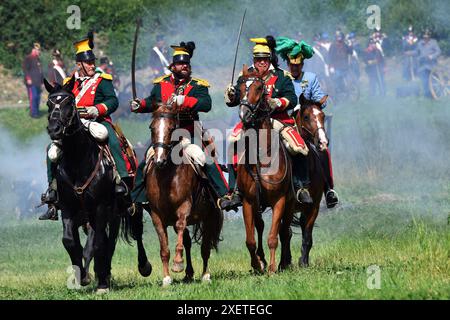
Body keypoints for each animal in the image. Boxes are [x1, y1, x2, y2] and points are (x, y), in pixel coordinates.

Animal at [43, 77, 151, 292]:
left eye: (69, 102)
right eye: (49, 104)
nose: (54, 130)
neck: (78, 160)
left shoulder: (99, 209)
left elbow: (94, 244)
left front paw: (94, 280)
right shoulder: (68, 209)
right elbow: (71, 242)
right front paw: (82, 275)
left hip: (130, 207)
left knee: (135, 233)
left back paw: (141, 267)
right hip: (112, 215)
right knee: (109, 243)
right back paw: (105, 274)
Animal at [145, 99, 222, 284]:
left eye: (172, 127)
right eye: (152, 127)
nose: (159, 161)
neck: (167, 176)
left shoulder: (184, 207)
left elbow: (181, 227)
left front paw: (177, 263)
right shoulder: (156, 215)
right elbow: (164, 248)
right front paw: (166, 278)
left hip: (209, 217)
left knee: (205, 247)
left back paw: (205, 275)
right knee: (187, 241)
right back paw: (188, 273)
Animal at [236, 66, 296, 274]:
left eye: (259, 88)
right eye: (238, 88)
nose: (244, 115)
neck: (261, 155)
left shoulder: (280, 201)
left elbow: (273, 237)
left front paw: (271, 268)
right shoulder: (248, 201)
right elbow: (250, 239)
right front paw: (257, 264)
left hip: (290, 204)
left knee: (284, 231)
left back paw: (284, 262)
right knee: (261, 226)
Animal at [280, 93, 328, 268]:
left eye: (323, 116)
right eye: (306, 116)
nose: (323, 143)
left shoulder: (314, 206)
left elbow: (307, 235)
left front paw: (304, 262)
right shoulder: (286, 206)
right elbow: (285, 233)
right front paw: (284, 263)